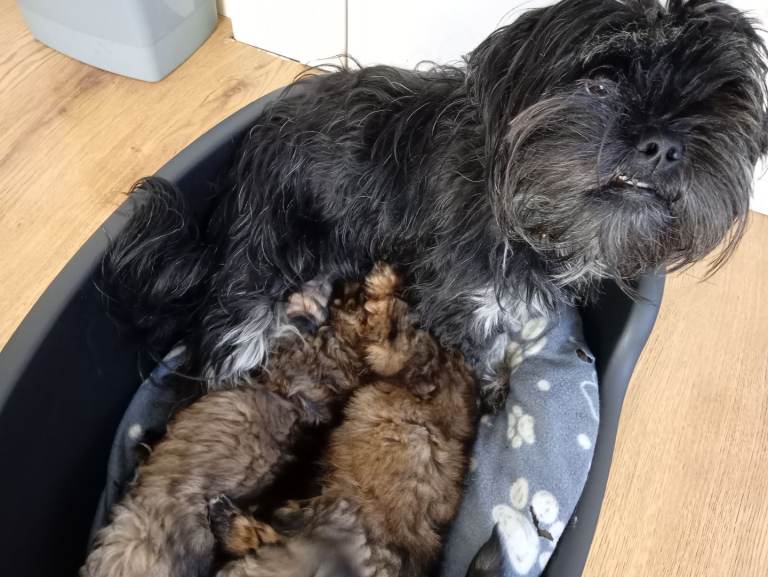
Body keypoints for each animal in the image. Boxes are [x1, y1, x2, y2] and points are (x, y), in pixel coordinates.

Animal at [102, 0, 768, 409]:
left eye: (715, 105)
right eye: (600, 82)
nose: (665, 143)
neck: (526, 213)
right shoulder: (458, 299)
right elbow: (481, 353)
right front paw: (494, 395)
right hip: (248, 291)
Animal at [207, 263, 478, 577]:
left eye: (346, 295)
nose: (339, 283)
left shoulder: (398, 356)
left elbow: (386, 328)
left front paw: (383, 285)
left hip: (322, 515)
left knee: (270, 537)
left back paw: (229, 518)